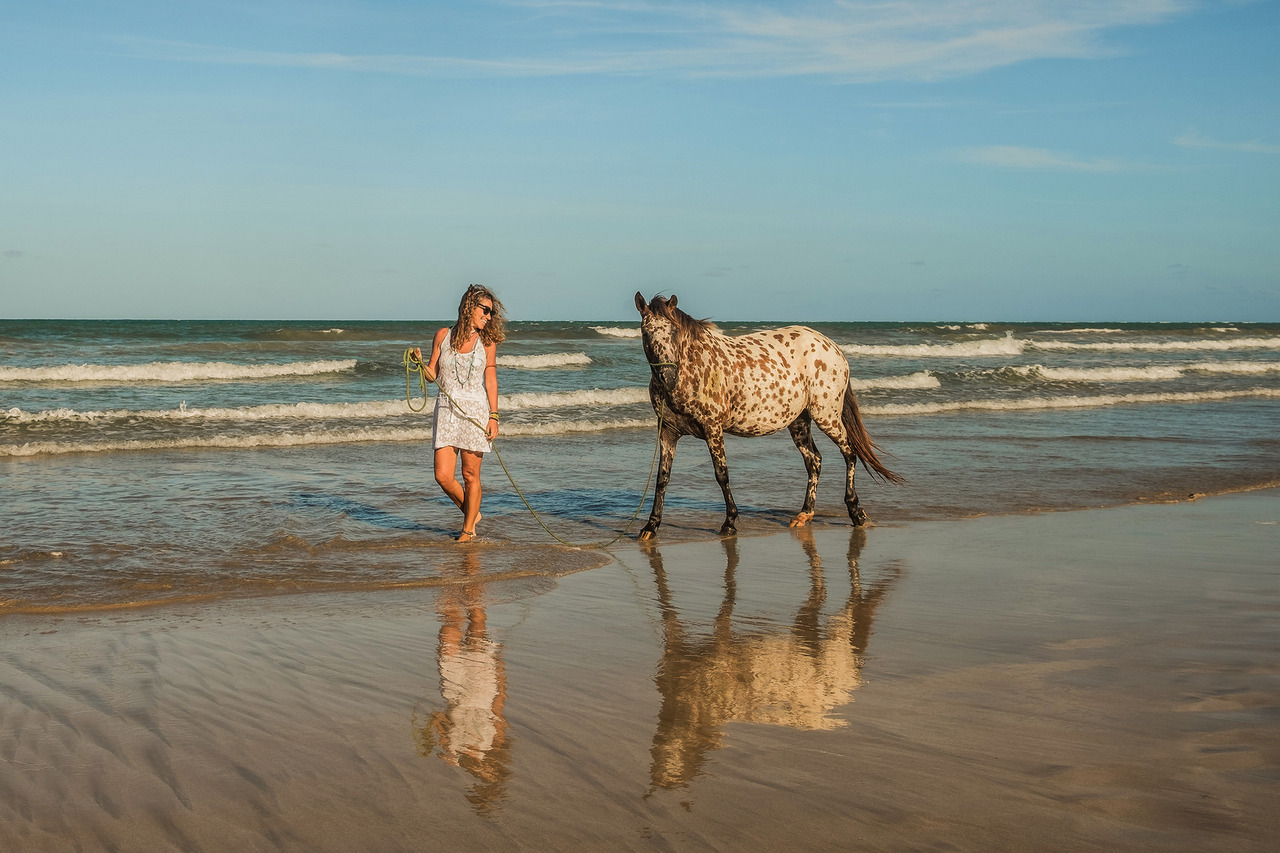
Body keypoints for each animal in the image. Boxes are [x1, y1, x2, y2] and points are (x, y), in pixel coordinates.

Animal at [634, 292, 902, 539]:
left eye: (674, 331)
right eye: (646, 333)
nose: (667, 377)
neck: (693, 369)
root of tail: (832, 347)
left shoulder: (713, 429)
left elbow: (722, 474)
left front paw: (729, 523)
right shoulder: (668, 432)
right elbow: (662, 478)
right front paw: (650, 526)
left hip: (827, 416)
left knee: (849, 453)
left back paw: (856, 511)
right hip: (799, 422)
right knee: (814, 461)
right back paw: (805, 514)